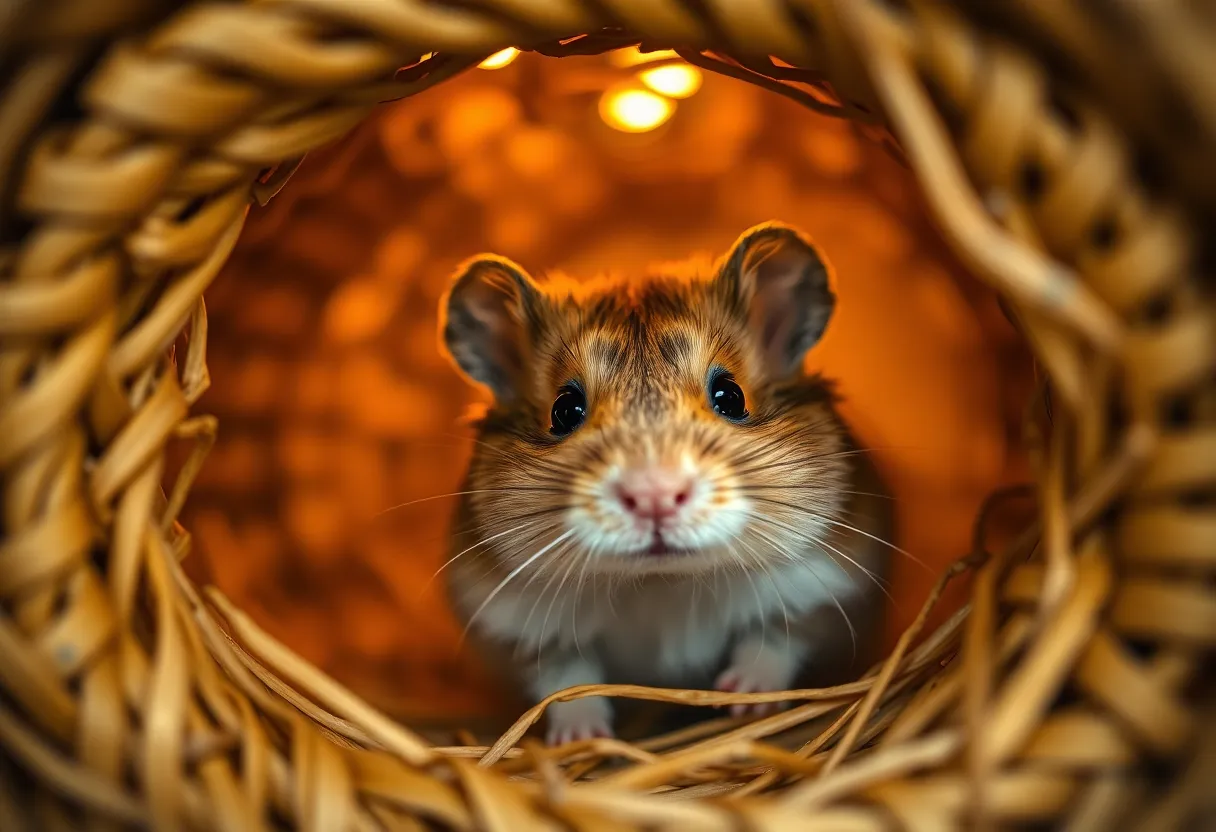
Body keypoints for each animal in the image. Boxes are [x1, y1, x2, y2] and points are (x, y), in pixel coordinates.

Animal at [438, 222, 893, 745]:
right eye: (565, 411)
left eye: (730, 396)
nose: (653, 496)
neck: (662, 584)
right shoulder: (517, 625)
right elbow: (566, 679)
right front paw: (585, 737)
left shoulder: (822, 589)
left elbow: (774, 641)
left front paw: (743, 699)